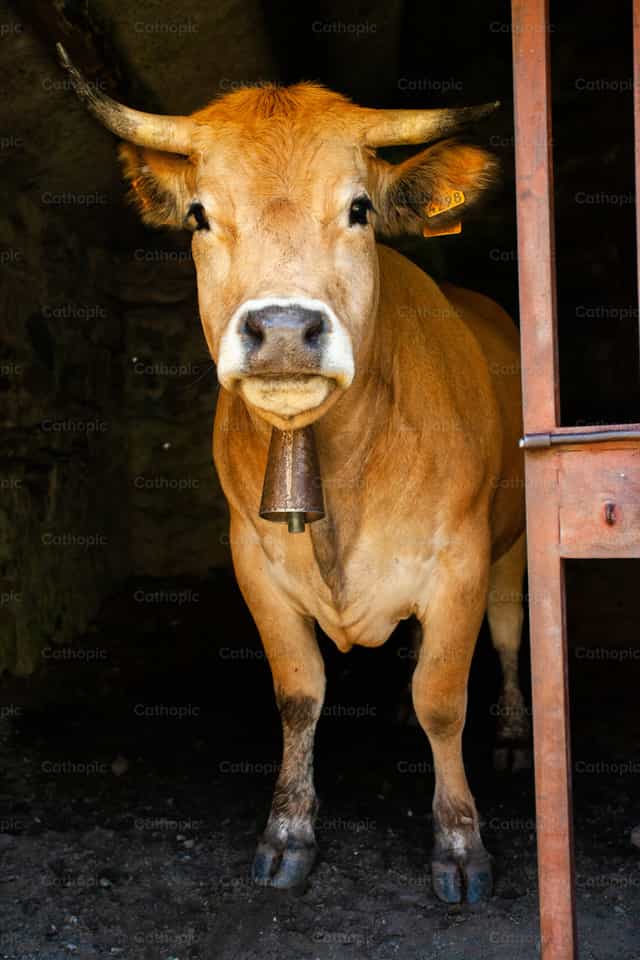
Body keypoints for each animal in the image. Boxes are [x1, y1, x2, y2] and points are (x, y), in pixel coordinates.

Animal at [59, 45, 528, 904]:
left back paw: (512, 731)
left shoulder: (460, 560)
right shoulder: (255, 561)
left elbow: (443, 700)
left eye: (360, 209)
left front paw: (459, 843)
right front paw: (288, 832)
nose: (282, 329)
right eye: (199, 215)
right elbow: (299, 691)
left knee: (510, 631)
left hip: (509, 548)